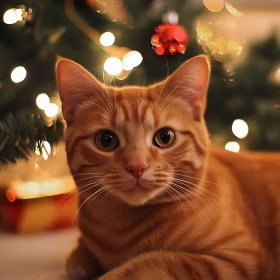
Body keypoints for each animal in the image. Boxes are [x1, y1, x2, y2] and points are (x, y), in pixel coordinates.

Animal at [55, 55, 278, 278]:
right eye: (106, 140)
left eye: (165, 137)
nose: (137, 167)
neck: (120, 233)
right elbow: (74, 260)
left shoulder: (240, 259)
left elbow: (152, 262)